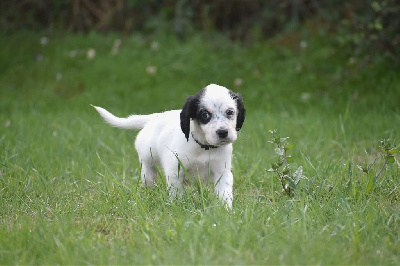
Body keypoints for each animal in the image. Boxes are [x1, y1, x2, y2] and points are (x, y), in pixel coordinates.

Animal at [92, 83, 245, 208]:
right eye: (205, 115)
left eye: (230, 112)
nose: (223, 132)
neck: (204, 147)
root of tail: (154, 117)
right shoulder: (174, 171)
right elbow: (177, 193)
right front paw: (179, 207)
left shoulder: (222, 172)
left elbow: (224, 193)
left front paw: (225, 210)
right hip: (147, 165)